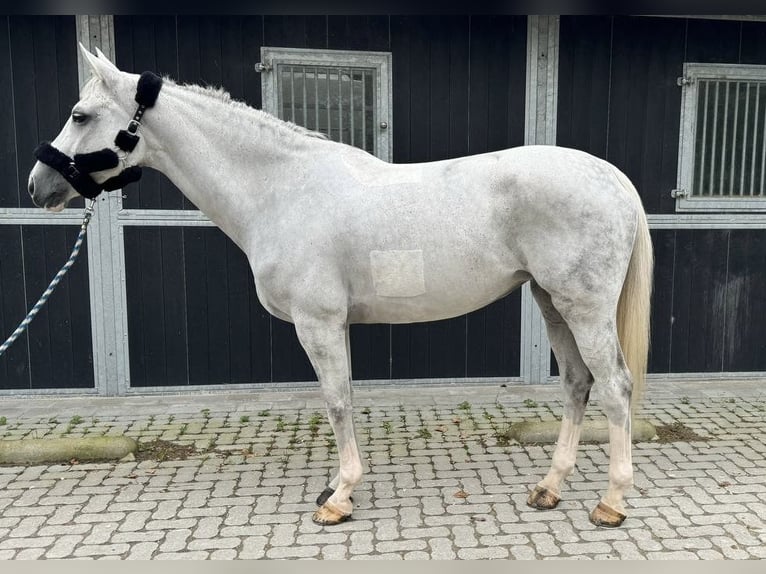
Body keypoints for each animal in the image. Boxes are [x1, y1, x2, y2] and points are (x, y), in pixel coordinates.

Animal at [30, 46, 656, 532]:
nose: (39, 186)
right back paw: (549, 488)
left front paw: (338, 498)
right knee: (577, 384)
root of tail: (613, 179)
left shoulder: (319, 321)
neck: (282, 188)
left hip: (583, 307)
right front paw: (335, 487)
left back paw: (611, 502)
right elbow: (344, 398)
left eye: (80, 115)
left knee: (615, 387)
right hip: (553, 303)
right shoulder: (333, 324)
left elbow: (336, 402)